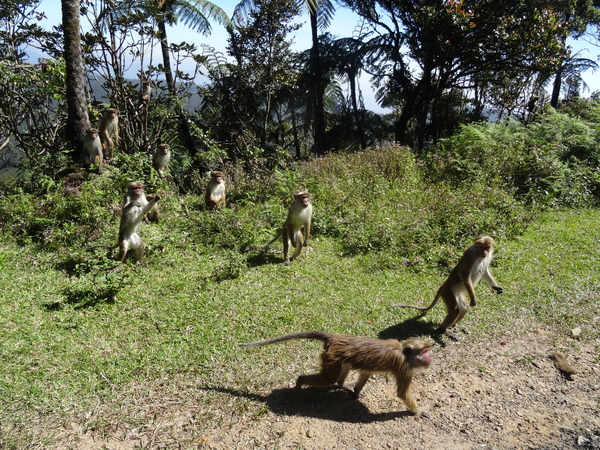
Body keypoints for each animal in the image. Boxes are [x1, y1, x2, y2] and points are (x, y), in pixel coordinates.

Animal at [239, 330, 432, 414]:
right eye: (424, 351)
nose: (430, 358)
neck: (403, 352)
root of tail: (335, 337)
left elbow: (366, 373)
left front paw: (355, 393)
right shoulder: (404, 368)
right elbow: (402, 394)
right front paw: (417, 411)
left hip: (336, 356)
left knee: (341, 371)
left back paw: (342, 385)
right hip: (332, 357)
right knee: (328, 379)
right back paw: (299, 383)